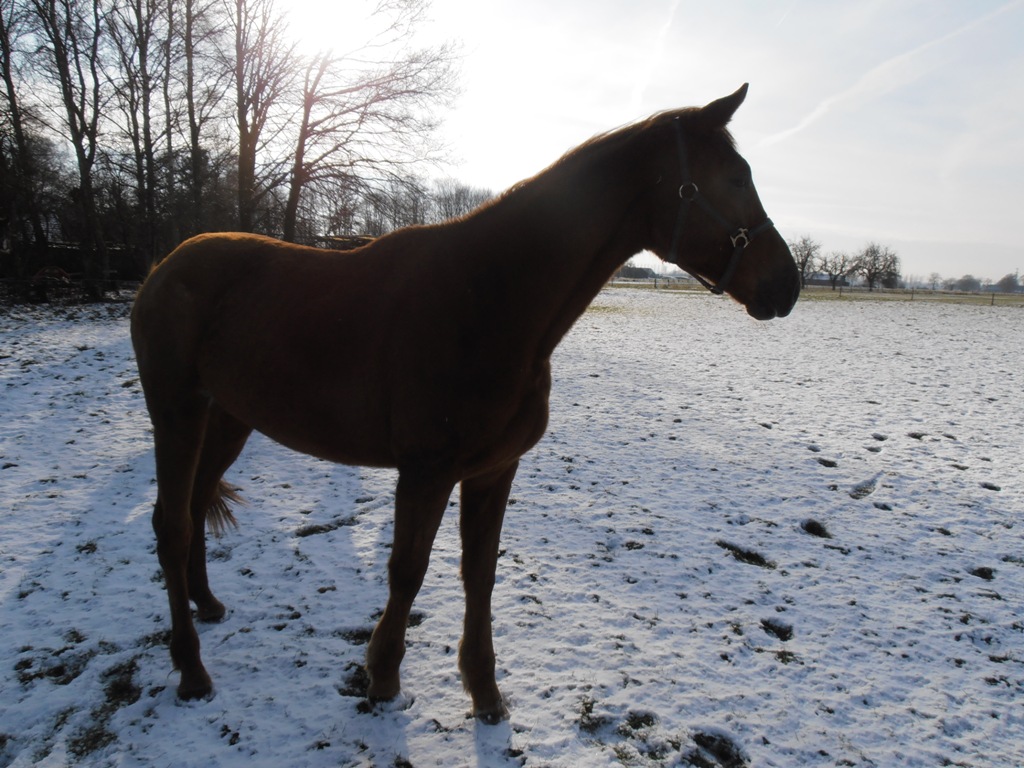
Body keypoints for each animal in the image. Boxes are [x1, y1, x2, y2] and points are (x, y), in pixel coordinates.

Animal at [130, 85, 798, 729]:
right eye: (734, 177)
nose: (788, 285)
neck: (488, 299)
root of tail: (165, 266)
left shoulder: (493, 471)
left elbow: (480, 573)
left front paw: (485, 694)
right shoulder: (426, 471)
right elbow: (408, 569)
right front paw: (383, 679)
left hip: (228, 420)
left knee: (194, 507)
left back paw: (209, 605)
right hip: (177, 414)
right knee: (171, 524)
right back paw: (192, 672)